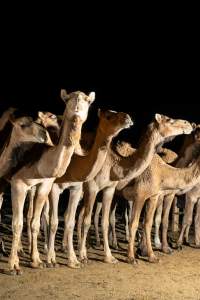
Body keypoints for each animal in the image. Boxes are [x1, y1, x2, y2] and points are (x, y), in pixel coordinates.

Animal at [7, 89, 95, 274]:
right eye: (68, 99)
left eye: (87, 100)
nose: (77, 106)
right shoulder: (19, 184)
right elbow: (19, 223)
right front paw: (13, 265)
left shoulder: (47, 185)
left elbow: (41, 221)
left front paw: (39, 260)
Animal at [45, 109, 133, 268]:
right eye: (108, 116)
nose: (127, 118)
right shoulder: (55, 188)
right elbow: (54, 222)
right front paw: (51, 259)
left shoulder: (77, 188)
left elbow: (70, 221)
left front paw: (74, 259)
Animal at [77, 113, 193, 264]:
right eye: (169, 120)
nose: (188, 124)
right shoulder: (139, 195)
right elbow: (135, 224)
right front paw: (132, 257)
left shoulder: (153, 196)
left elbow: (148, 223)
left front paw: (151, 255)